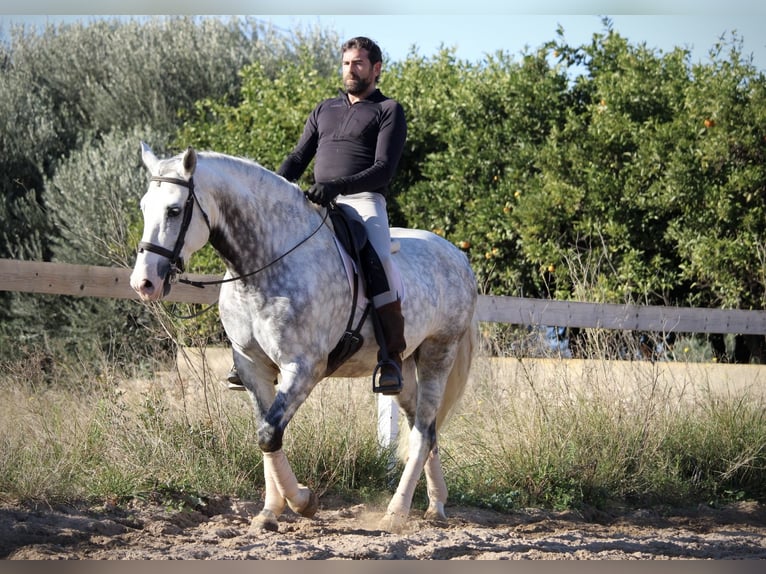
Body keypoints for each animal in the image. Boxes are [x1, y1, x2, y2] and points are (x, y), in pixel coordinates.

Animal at [132, 144, 480, 536]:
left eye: (174, 210)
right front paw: (270, 512)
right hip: (404, 365)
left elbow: (269, 433)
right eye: (144, 207)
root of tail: (457, 255)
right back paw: (436, 507)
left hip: (439, 352)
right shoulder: (252, 367)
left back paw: (396, 513)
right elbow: (264, 432)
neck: (264, 266)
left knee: (422, 434)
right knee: (426, 427)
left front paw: (303, 502)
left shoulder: (303, 368)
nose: (144, 283)